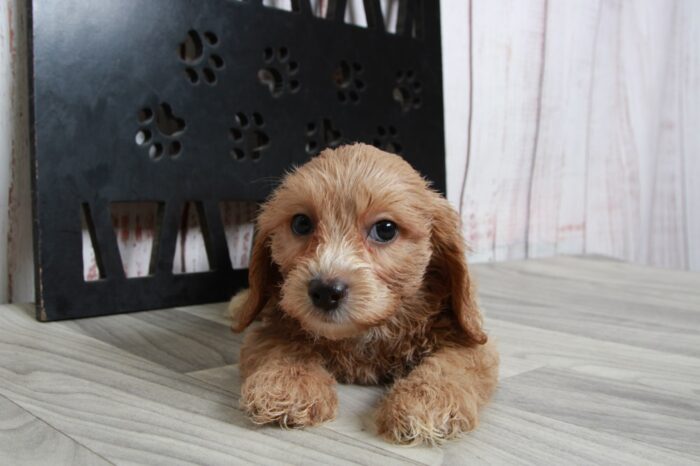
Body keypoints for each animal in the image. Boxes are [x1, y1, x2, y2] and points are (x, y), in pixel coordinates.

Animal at [230, 142, 498, 444]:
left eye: (385, 229)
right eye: (301, 224)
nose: (325, 291)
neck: (365, 334)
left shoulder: (467, 337)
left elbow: (452, 364)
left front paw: (425, 402)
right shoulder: (275, 326)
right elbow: (282, 347)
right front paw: (287, 385)